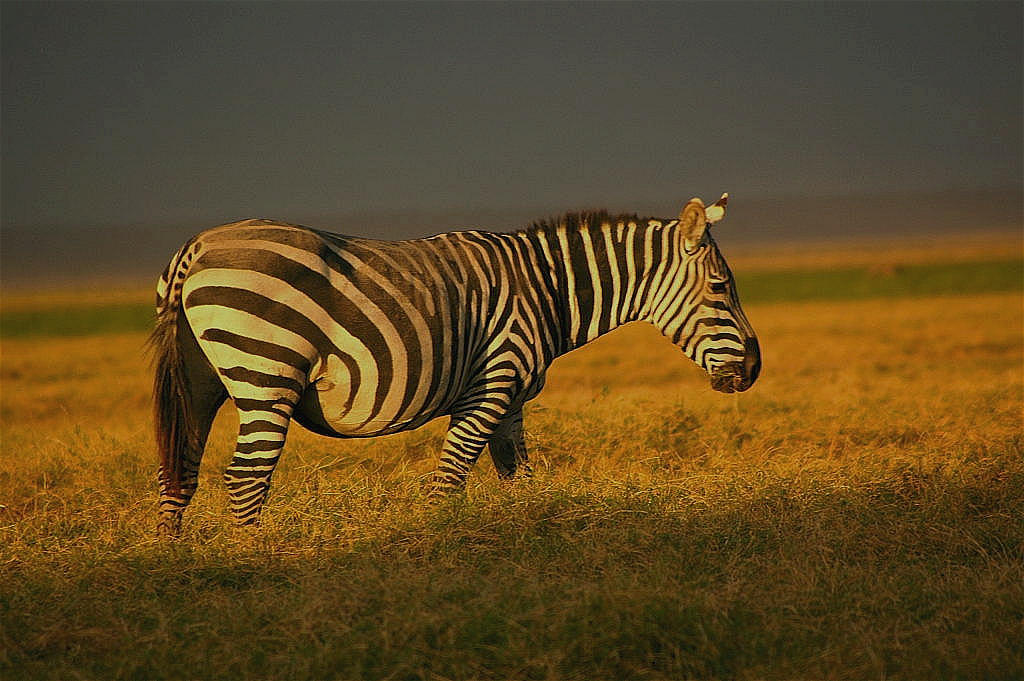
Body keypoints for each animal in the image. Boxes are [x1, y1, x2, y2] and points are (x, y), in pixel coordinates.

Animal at [150, 193, 760, 533]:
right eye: (721, 287)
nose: (753, 371)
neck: (547, 290)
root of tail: (198, 247)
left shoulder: (511, 400)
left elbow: (518, 476)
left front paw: (527, 535)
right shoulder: (491, 384)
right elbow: (449, 480)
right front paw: (434, 550)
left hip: (198, 382)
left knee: (178, 471)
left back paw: (175, 565)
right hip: (266, 374)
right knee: (246, 478)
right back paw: (257, 561)